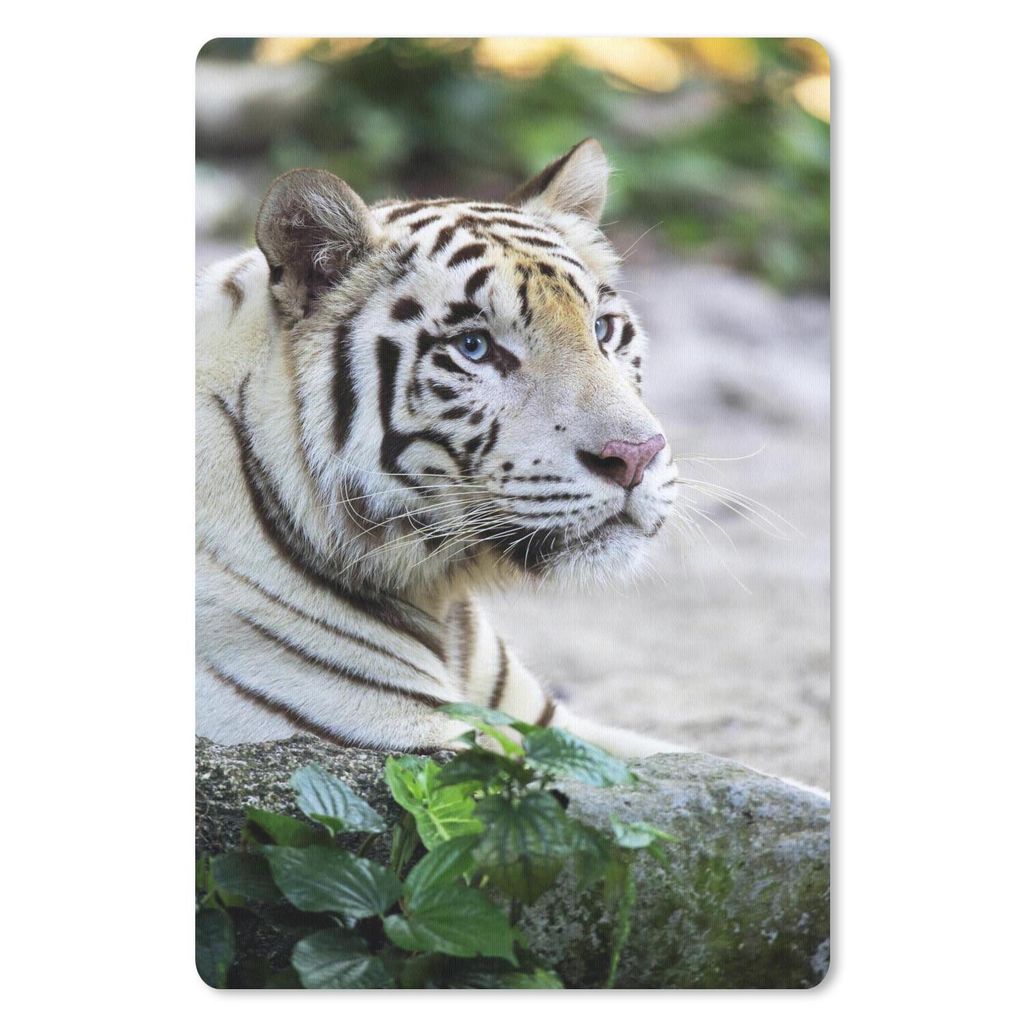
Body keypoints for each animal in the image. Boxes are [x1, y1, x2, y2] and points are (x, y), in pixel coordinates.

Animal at [196, 138, 686, 758]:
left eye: (602, 329)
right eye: (474, 347)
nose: (636, 456)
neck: (439, 592)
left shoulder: (547, 725)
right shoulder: (415, 744)